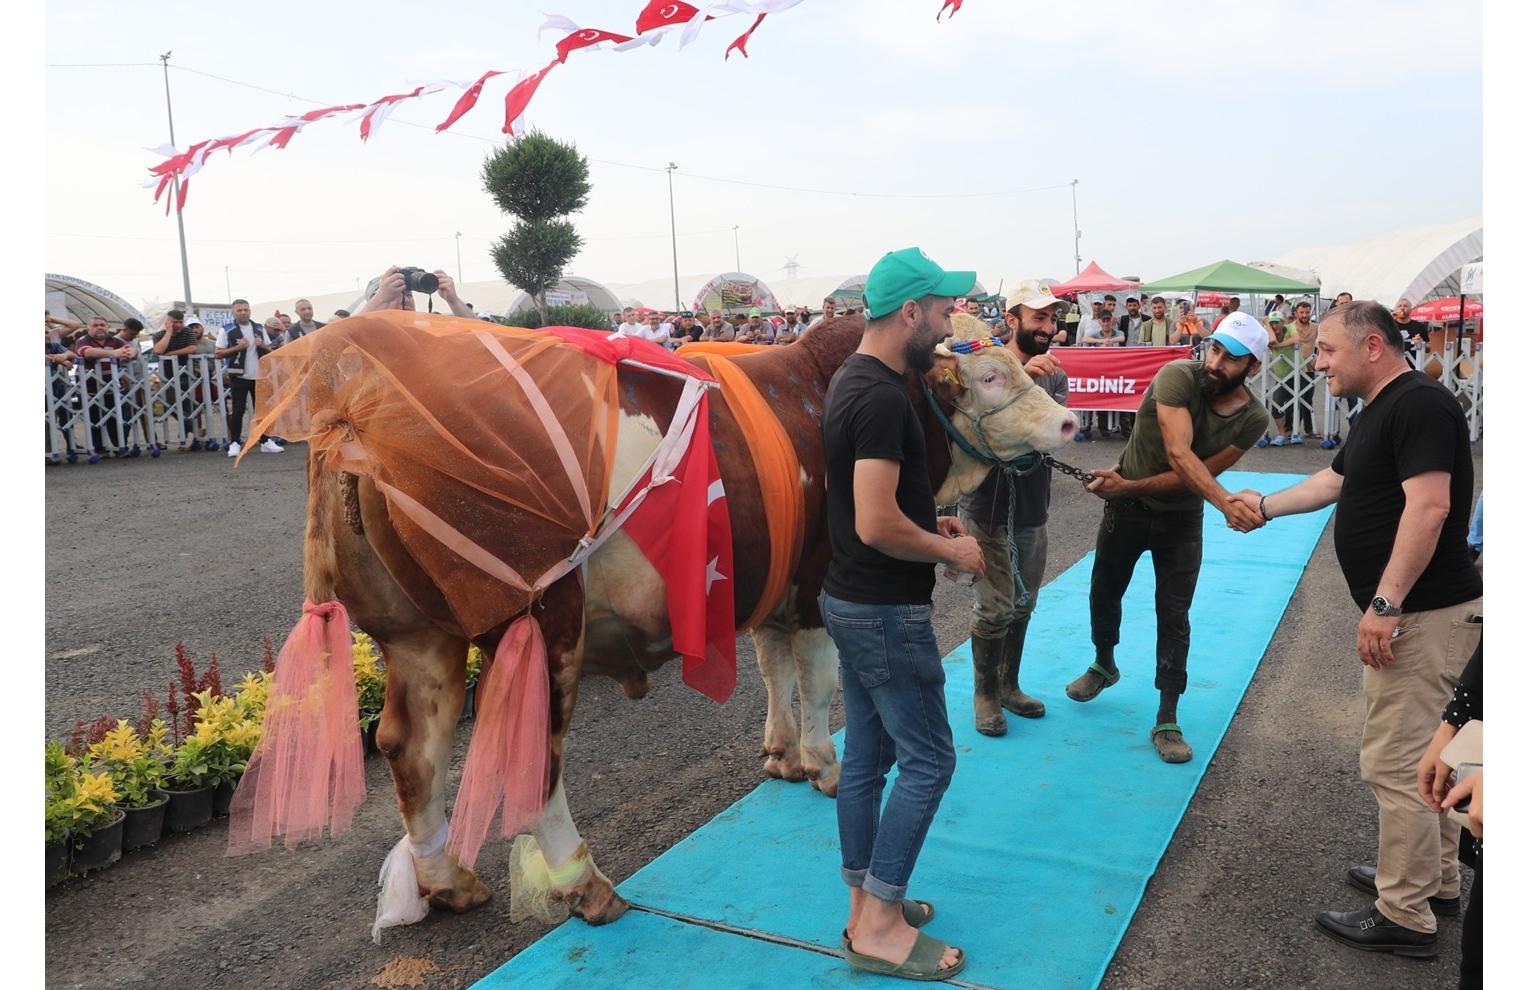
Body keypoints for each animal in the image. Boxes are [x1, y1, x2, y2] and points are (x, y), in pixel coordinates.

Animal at [301, 314, 1075, 928]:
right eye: (990, 375)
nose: (1068, 421)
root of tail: (361, 408)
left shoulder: (772, 580)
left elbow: (773, 668)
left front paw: (780, 754)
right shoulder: (819, 577)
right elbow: (819, 679)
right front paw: (822, 764)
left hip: (416, 635)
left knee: (410, 748)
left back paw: (447, 881)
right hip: (542, 627)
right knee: (532, 758)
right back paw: (585, 885)